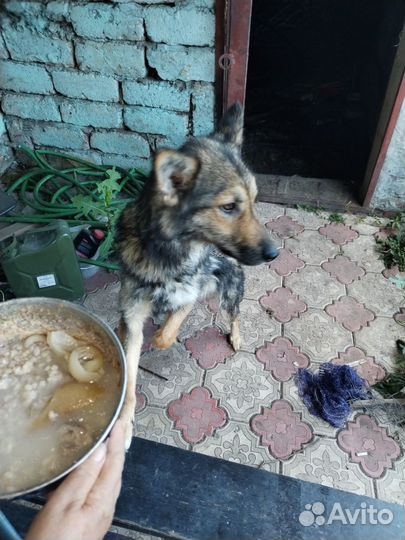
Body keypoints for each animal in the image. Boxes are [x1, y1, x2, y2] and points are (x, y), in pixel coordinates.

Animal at [113, 102, 278, 448]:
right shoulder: (132, 314)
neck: (168, 257)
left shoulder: (193, 292)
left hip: (230, 290)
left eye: (254, 201)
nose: (275, 253)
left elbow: (166, 335)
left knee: (234, 314)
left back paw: (235, 336)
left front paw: (163, 332)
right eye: (228, 207)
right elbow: (130, 372)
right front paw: (124, 424)